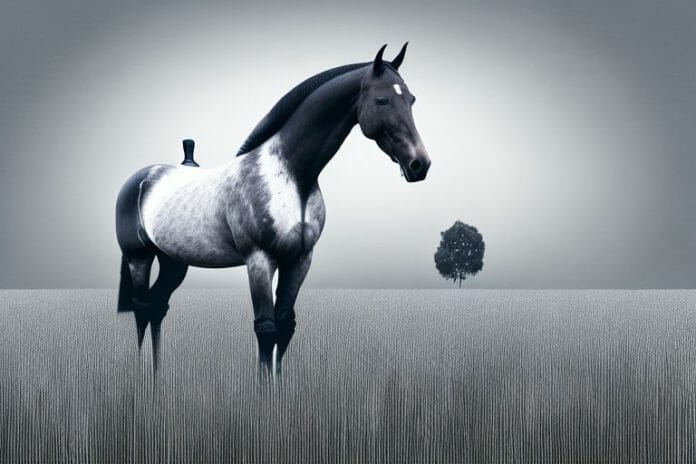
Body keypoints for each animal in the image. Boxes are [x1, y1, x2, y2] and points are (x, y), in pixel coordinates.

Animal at [115, 43, 431, 380]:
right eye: (382, 100)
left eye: (411, 99)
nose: (419, 165)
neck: (291, 177)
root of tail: (142, 178)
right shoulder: (260, 261)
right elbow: (266, 329)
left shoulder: (299, 260)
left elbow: (285, 325)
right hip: (139, 258)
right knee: (142, 307)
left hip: (174, 262)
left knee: (158, 307)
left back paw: (156, 374)